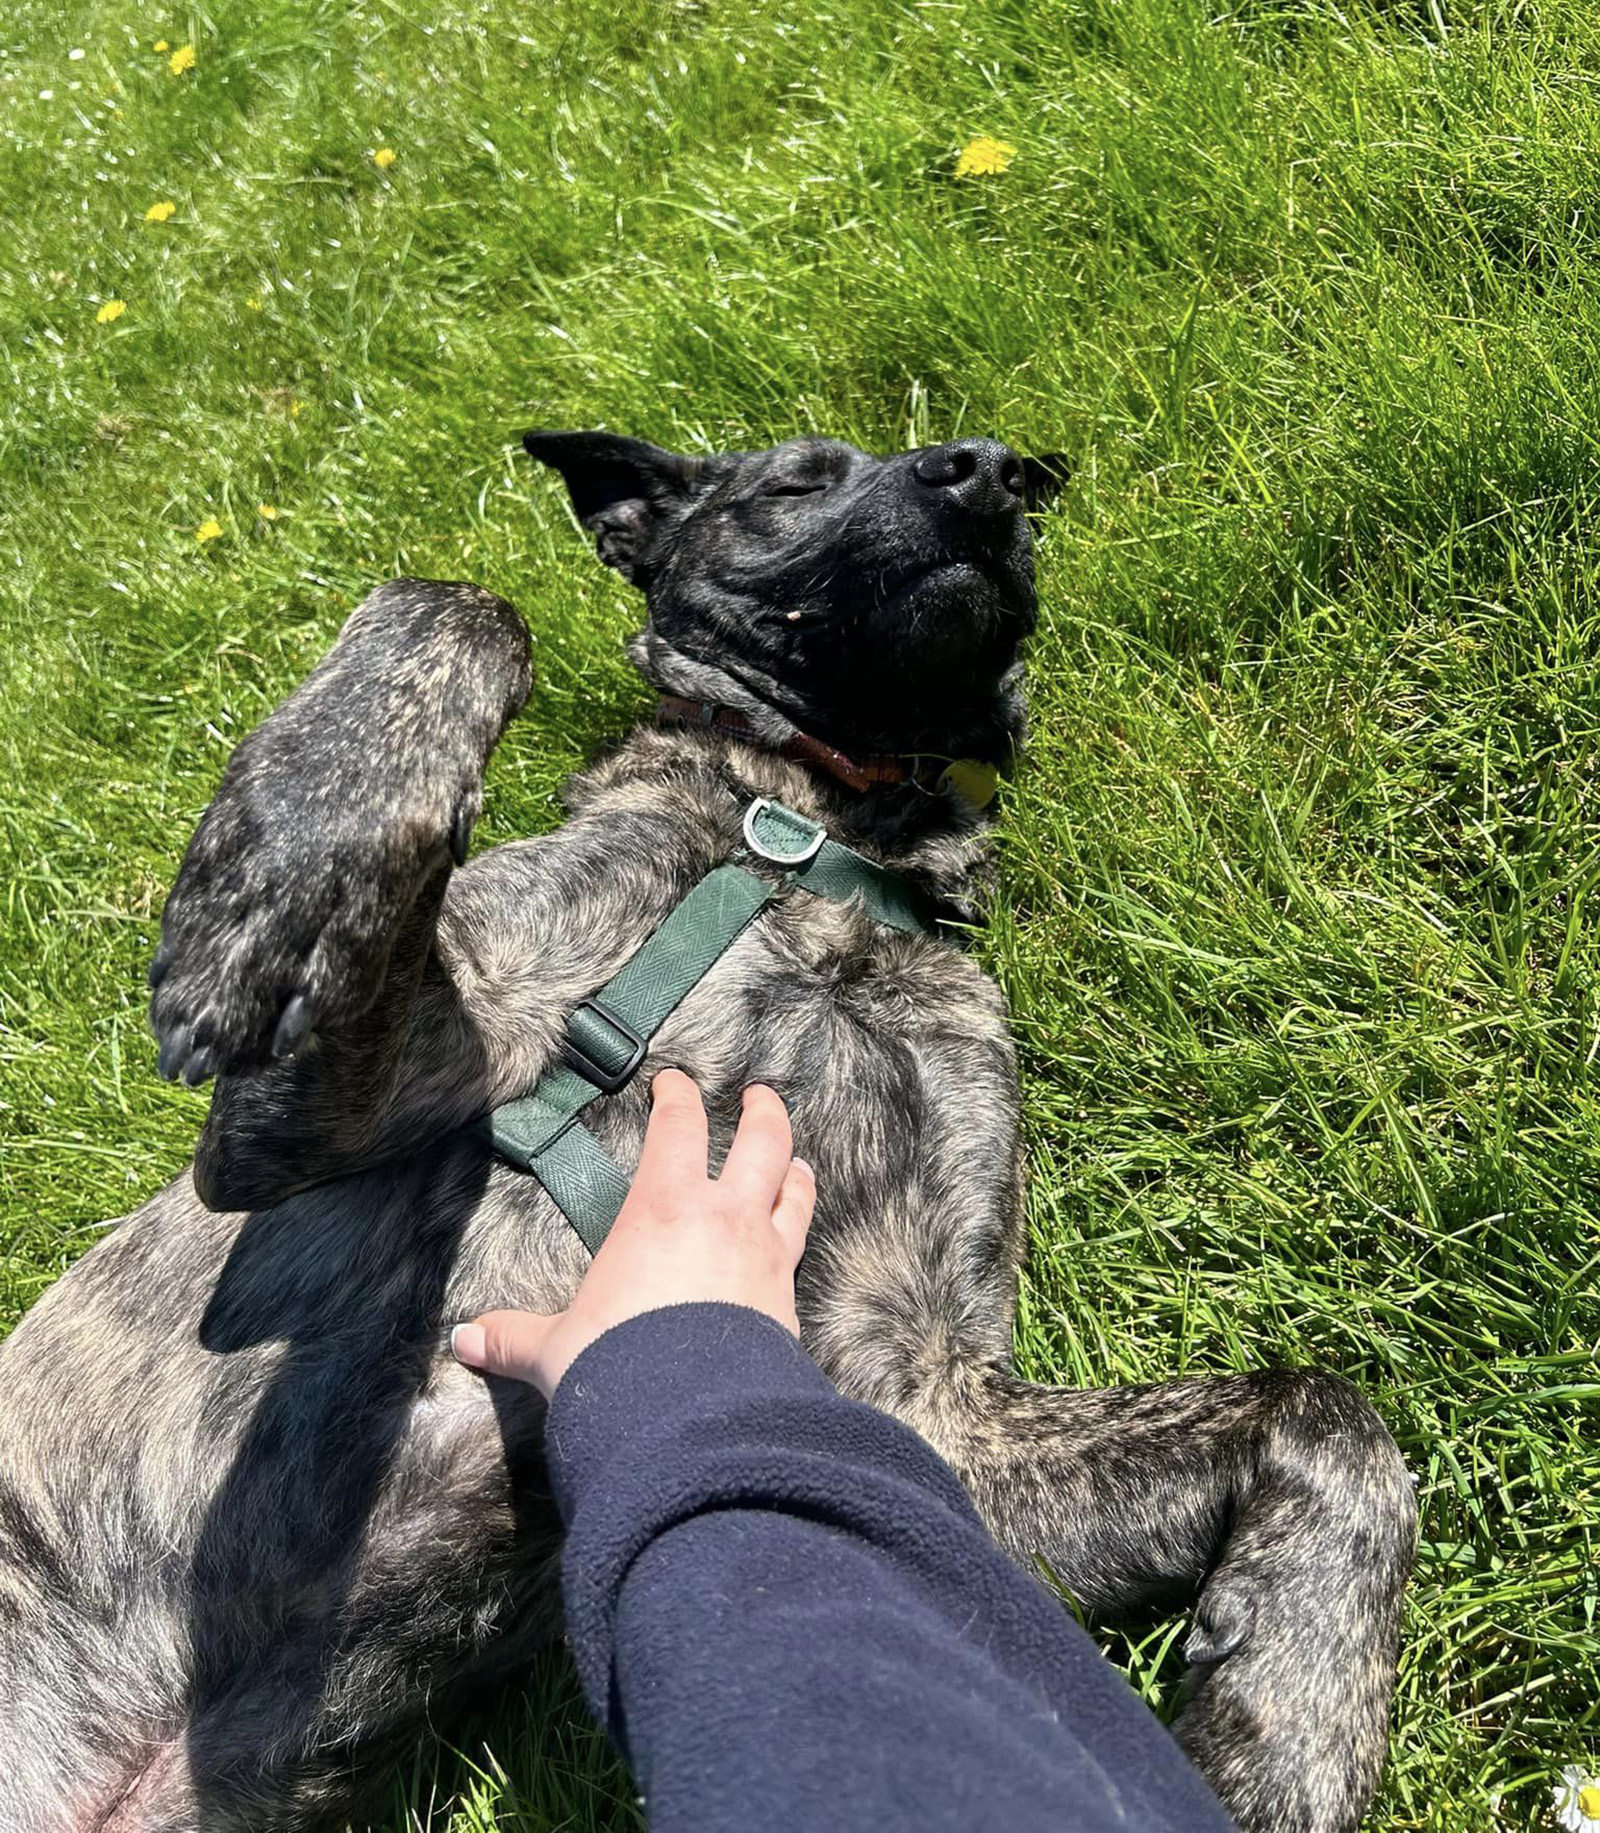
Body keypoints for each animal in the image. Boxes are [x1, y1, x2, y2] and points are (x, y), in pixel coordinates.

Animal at [0, 432, 1407, 1833]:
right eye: (796, 480)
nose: (987, 470)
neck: (816, 846)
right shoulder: (305, 1112)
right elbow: (459, 600)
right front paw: (276, 870)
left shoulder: (919, 1400)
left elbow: (1330, 1412)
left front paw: (1278, 1731)